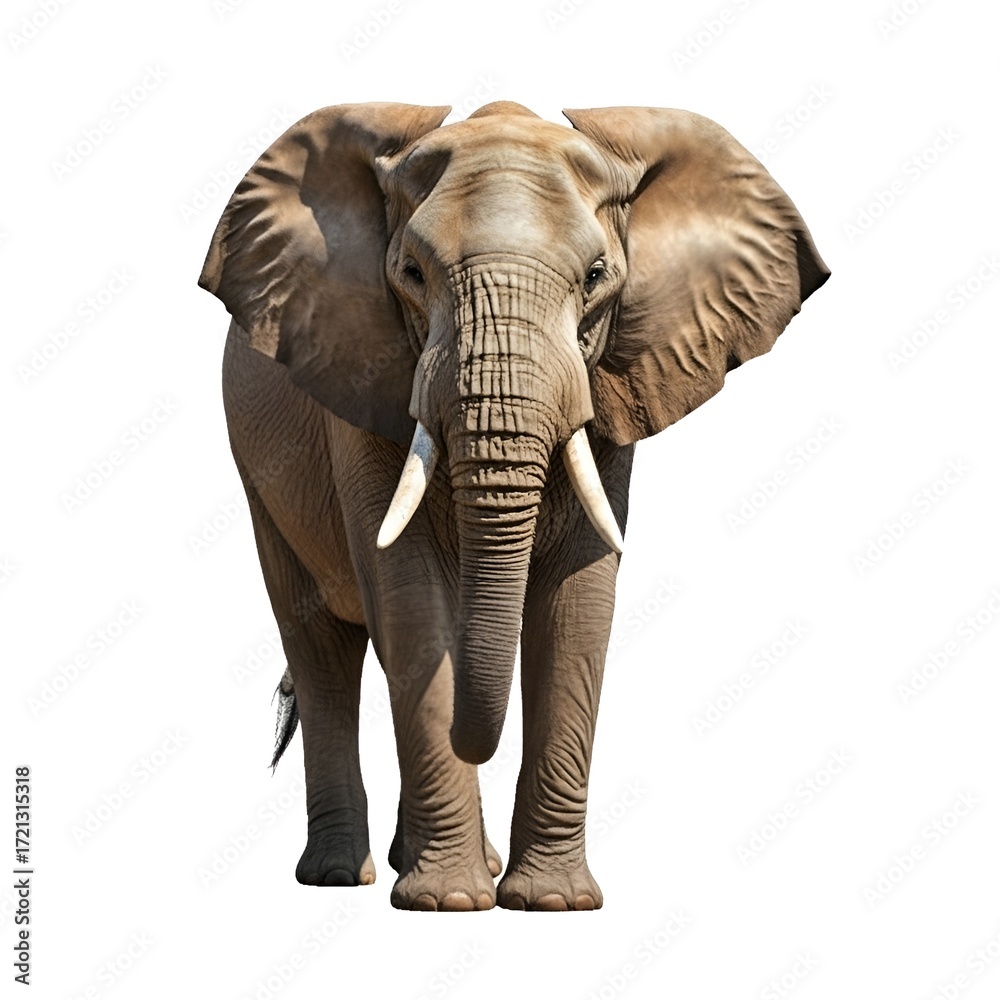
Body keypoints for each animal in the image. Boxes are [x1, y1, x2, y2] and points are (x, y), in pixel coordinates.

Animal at [199, 100, 829, 911]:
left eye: (597, 277)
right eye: (410, 273)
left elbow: (578, 604)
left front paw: (551, 903)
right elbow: (410, 597)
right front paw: (447, 903)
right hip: (258, 472)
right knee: (323, 648)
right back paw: (341, 876)